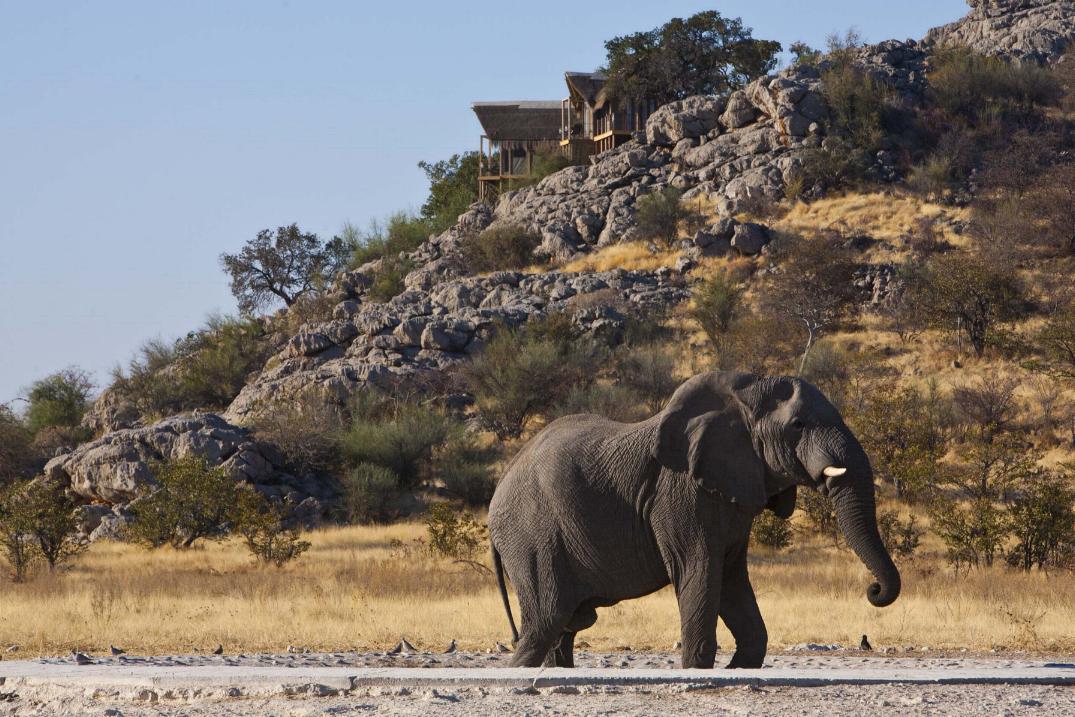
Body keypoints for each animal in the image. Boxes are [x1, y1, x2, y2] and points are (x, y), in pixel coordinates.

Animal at [492, 374, 903, 670]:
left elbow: (732, 579)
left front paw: (736, 670)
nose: (873, 590)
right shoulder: (682, 494)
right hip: (533, 538)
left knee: (562, 630)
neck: (744, 397)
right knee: (546, 622)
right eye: (798, 425)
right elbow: (699, 568)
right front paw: (698, 667)